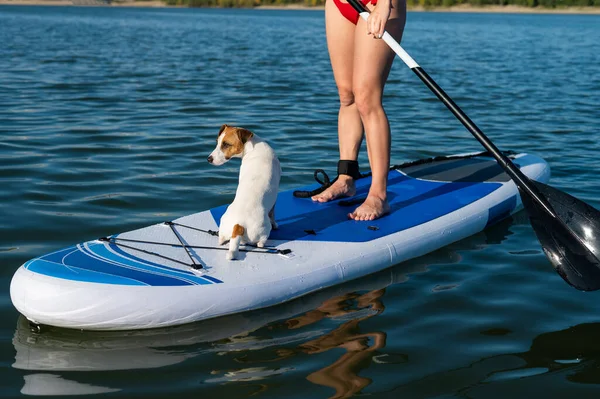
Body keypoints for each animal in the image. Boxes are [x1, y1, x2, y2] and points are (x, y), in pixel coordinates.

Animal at [207, 126, 280, 262]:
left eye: (225, 144)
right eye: (217, 142)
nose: (208, 159)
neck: (253, 148)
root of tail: (238, 225)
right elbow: (273, 214)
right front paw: (276, 224)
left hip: (224, 225)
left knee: (222, 239)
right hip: (263, 230)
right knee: (260, 242)